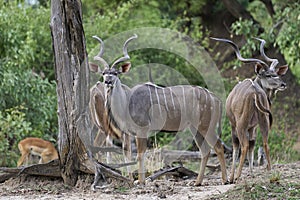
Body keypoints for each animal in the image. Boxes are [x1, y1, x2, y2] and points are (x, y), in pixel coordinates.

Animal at [90, 34, 229, 186]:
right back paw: (197, 182)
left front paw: (141, 181)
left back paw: (225, 179)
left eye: (115, 73)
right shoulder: (130, 133)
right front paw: (134, 180)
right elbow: (130, 154)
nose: (107, 81)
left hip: (205, 125)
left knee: (218, 147)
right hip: (195, 128)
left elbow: (140, 154)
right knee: (205, 150)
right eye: (104, 73)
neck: (126, 102)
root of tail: (216, 99)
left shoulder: (142, 130)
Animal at [211, 37, 288, 183]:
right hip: (263, 122)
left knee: (244, 145)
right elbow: (253, 145)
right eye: (269, 75)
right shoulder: (253, 127)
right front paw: (252, 174)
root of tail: (255, 93)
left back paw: (237, 176)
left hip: (241, 125)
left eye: (276, 74)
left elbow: (236, 147)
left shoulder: (233, 125)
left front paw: (231, 177)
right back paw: (270, 169)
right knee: (264, 143)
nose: (283, 84)